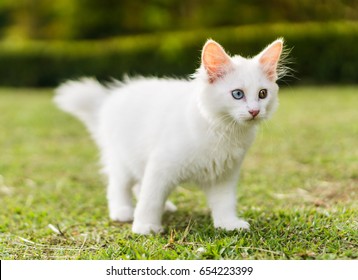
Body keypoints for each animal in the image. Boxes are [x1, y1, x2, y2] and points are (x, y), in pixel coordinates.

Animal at [54, 37, 286, 234]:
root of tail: (108, 99)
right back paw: (123, 211)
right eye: (237, 94)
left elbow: (225, 202)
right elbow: (151, 199)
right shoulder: (162, 165)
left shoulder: (224, 174)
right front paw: (145, 227)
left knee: (138, 184)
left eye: (262, 94)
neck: (223, 130)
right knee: (119, 185)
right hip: (123, 158)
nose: (255, 111)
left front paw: (228, 224)